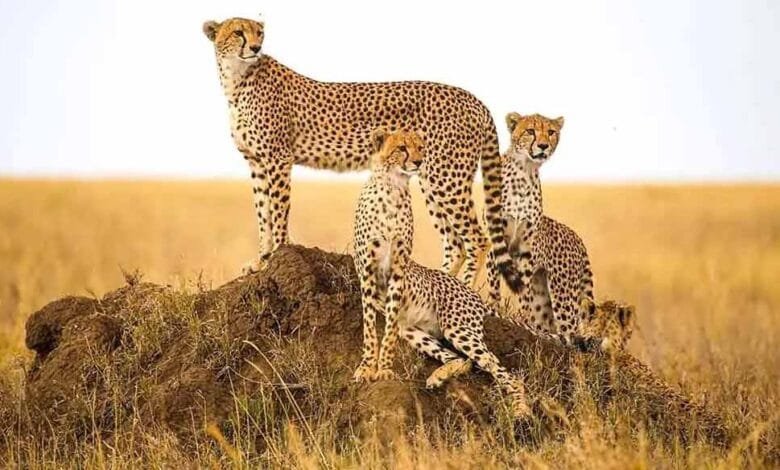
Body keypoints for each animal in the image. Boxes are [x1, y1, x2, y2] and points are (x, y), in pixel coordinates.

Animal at [202, 17, 520, 293]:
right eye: (238, 32)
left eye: (260, 33)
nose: (256, 47)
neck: (237, 79)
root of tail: (473, 98)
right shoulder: (256, 162)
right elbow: (262, 213)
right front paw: (261, 260)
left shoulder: (277, 158)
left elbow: (278, 212)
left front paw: (277, 254)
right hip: (431, 177)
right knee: (455, 243)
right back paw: (439, 286)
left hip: (446, 178)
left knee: (478, 239)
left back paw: (465, 290)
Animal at [352, 128, 530, 417]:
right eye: (401, 148)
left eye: (420, 147)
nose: (418, 162)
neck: (392, 186)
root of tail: (470, 292)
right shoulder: (367, 272)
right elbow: (370, 327)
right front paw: (367, 367)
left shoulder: (398, 271)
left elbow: (387, 333)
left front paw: (385, 369)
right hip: (415, 331)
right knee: (462, 359)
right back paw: (438, 376)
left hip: (458, 329)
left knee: (500, 369)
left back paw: (521, 409)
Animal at [486, 112, 597, 347]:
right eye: (530, 131)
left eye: (551, 132)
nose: (544, 145)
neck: (524, 171)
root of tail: (577, 237)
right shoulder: (495, 240)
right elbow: (494, 282)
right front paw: (492, 308)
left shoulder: (526, 248)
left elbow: (523, 290)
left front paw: (522, 320)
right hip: (545, 296)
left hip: (563, 293)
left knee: (570, 329)